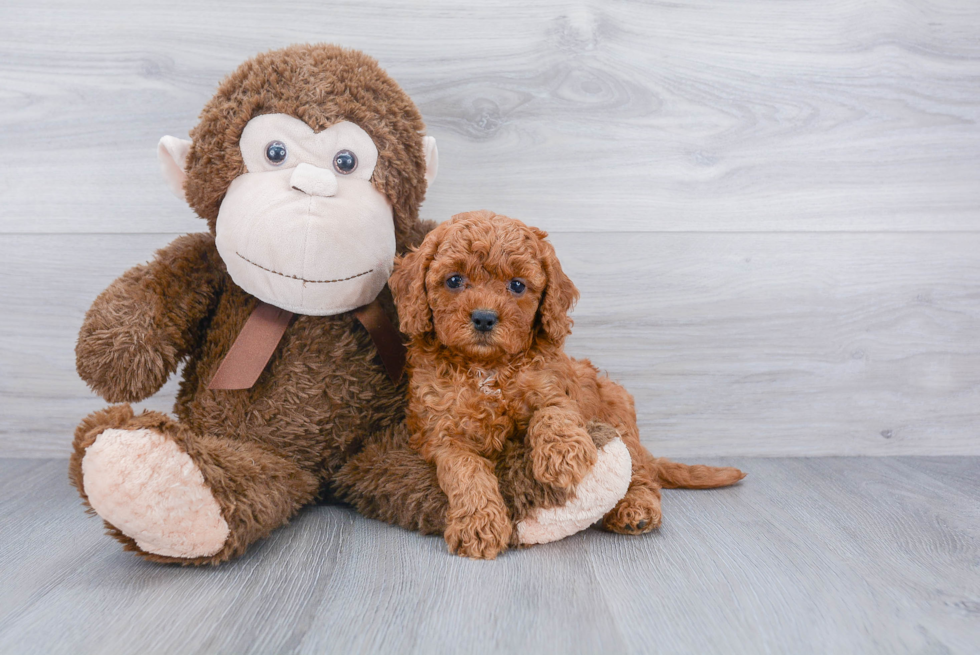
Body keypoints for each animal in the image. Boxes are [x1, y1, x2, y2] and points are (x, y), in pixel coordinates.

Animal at [388, 211, 744, 560]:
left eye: (517, 285)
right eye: (454, 280)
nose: (484, 318)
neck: (487, 366)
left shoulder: (553, 387)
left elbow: (553, 413)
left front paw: (561, 455)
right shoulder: (442, 432)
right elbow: (466, 471)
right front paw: (479, 524)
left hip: (620, 418)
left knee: (642, 474)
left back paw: (635, 509)